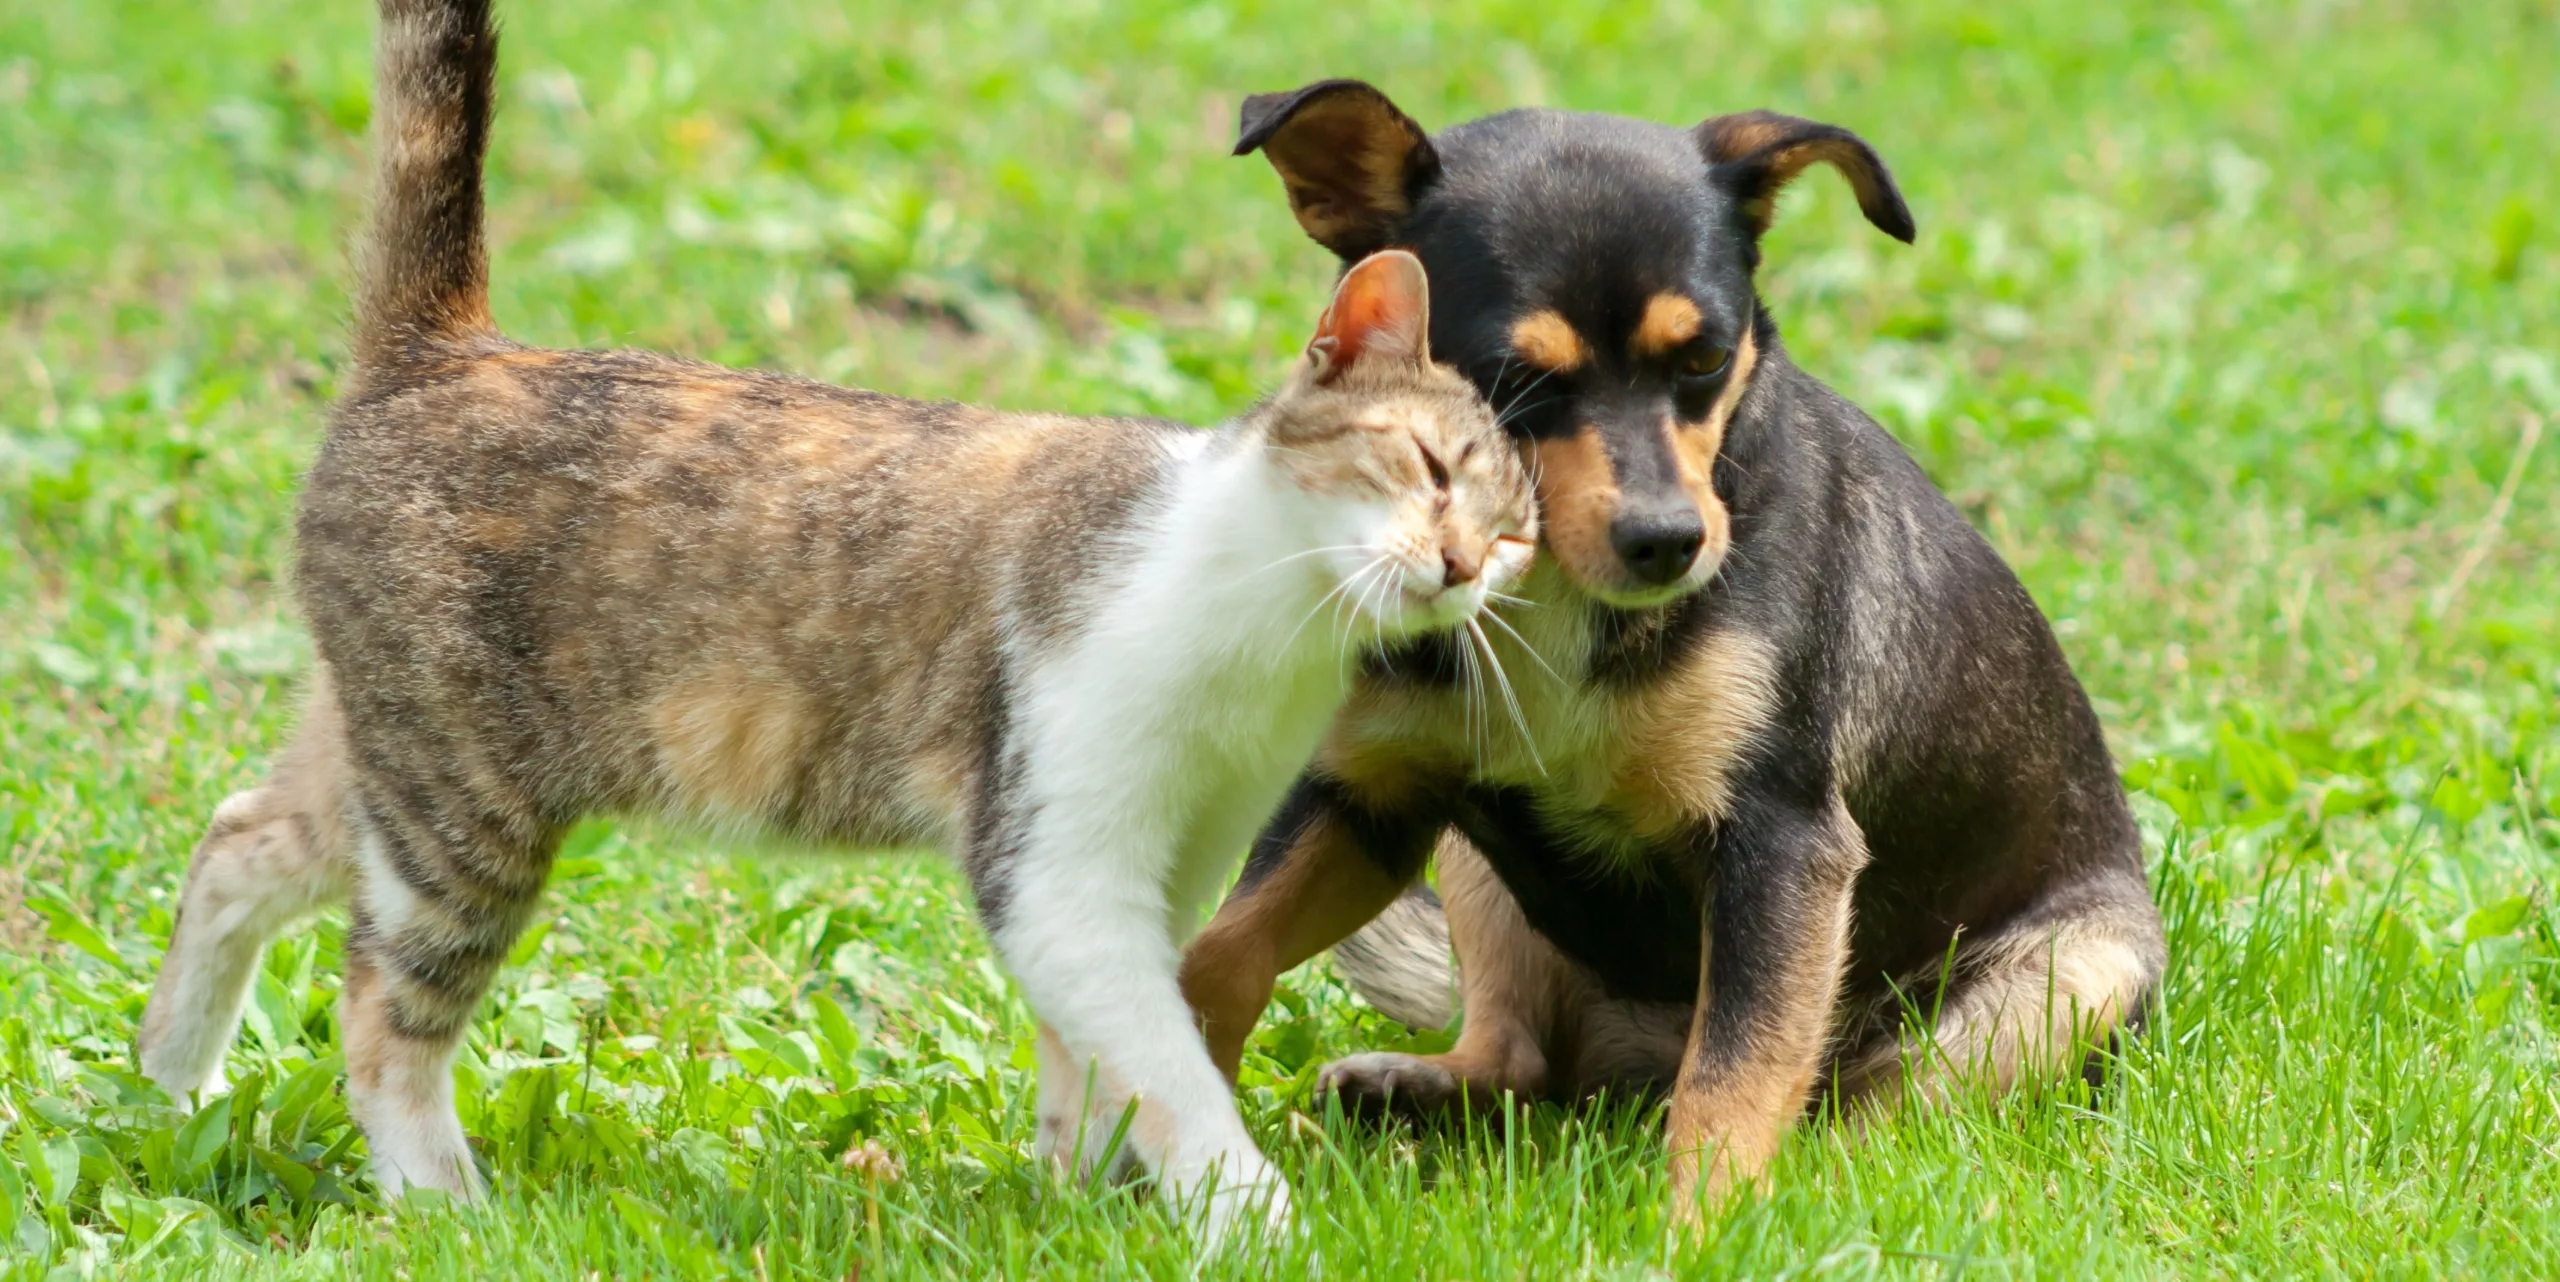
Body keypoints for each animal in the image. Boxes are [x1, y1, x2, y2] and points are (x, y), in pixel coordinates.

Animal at [140, 0, 1525, 1238]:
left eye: (1514, 533)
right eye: (1427, 465)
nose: (1464, 562)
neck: (1265, 634)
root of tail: (445, 347)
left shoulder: (1174, 863)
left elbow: (1098, 1065)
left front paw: (1083, 1201)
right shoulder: (1056, 869)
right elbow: (1173, 1068)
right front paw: (1251, 1220)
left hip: (395, 760)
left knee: (237, 837)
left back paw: (173, 1087)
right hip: (463, 806)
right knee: (380, 1012)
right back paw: (439, 1200)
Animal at [1172, 82, 2160, 1218]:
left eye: (1704, 359)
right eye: (1513, 379)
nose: (1668, 542)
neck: (1548, 592)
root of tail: (1632, 1062)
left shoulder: (1781, 844)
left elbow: (1732, 1081)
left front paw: (1700, 1232)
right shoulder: (1370, 798)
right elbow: (1218, 953)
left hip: (2064, 983)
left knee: (1859, 1112)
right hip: (1475, 869)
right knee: (1520, 1060)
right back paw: (1409, 1087)